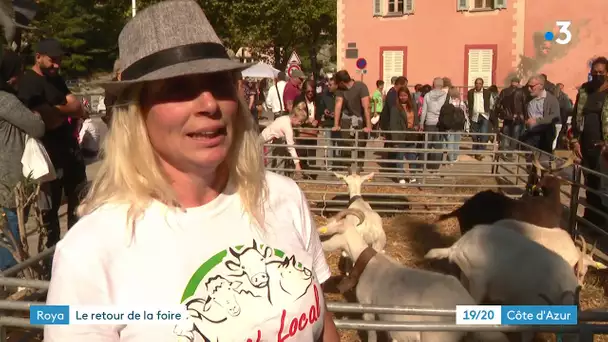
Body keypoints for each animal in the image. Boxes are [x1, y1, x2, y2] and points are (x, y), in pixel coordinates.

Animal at [318, 208, 508, 342]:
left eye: (330, 233)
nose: (321, 244)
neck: (369, 261)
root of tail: (466, 301)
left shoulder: (367, 307)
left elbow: (371, 335)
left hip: (436, 336)